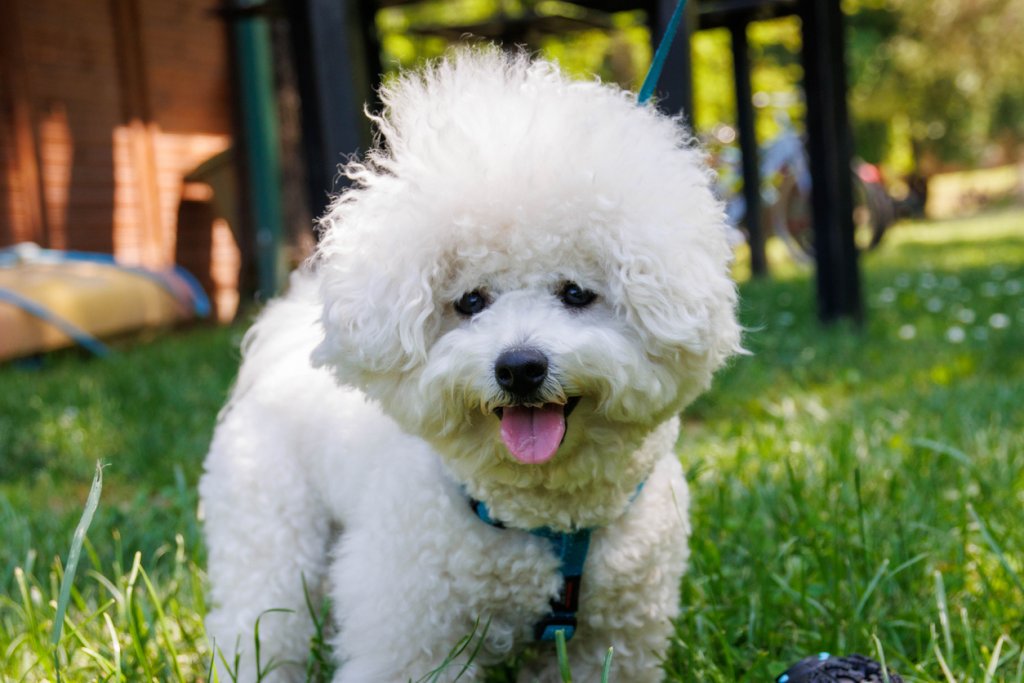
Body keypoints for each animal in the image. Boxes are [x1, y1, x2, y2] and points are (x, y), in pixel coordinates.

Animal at [201, 49, 745, 683]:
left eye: (576, 293)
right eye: (470, 301)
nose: (519, 367)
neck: (546, 522)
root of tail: (277, 349)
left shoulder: (611, 638)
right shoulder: (413, 635)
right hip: (269, 538)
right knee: (259, 624)